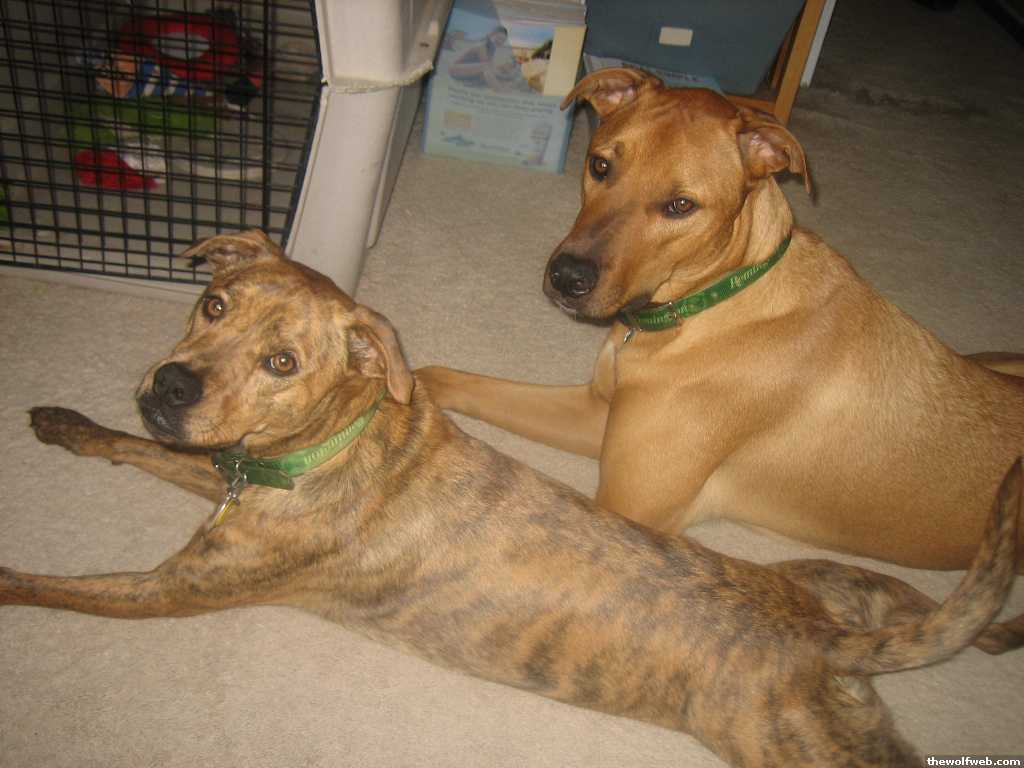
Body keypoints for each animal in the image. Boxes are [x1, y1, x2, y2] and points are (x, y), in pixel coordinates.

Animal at [3, 230, 1022, 768]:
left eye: (282, 362)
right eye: (213, 305)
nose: (173, 386)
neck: (337, 443)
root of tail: (826, 640)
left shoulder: (170, 590)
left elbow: (51, 584)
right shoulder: (219, 472)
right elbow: (139, 447)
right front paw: (69, 423)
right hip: (851, 584)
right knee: (951, 609)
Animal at [417, 67, 1024, 571]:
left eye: (681, 206)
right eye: (600, 165)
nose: (567, 277)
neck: (706, 305)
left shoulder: (626, 503)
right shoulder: (598, 415)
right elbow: (449, 378)